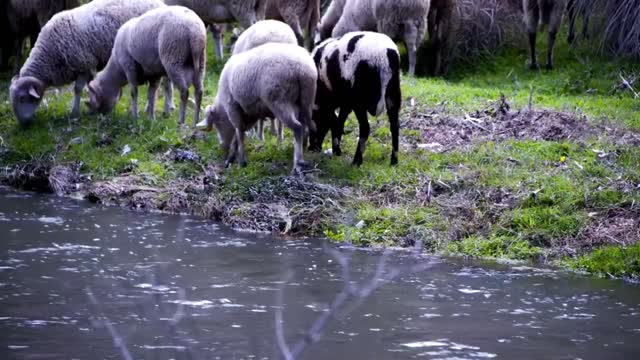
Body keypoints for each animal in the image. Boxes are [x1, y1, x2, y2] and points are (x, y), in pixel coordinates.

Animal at [9, 0, 165, 125]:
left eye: (22, 98)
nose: (23, 124)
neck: (49, 54)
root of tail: (160, 3)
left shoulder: (84, 64)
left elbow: (77, 89)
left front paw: (75, 112)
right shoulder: (89, 67)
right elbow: (91, 85)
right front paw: (92, 106)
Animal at [195, 43, 316, 175]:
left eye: (217, 125)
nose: (222, 146)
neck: (223, 107)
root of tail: (302, 68)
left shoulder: (233, 107)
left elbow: (239, 132)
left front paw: (240, 161)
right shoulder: (251, 112)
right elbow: (240, 132)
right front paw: (233, 156)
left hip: (279, 101)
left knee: (297, 127)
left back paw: (297, 163)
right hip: (305, 101)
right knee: (305, 126)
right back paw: (303, 153)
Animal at [308, 31, 400, 166]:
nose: (312, 148)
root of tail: (383, 56)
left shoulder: (334, 101)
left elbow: (334, 121)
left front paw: (336, 150)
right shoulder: (344, 102)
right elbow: (338, 122)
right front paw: (336, 151)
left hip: (360, 99)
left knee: (365, 128)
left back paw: (356, 161)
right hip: (393, 92)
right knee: (395, 126)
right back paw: (394, 161)